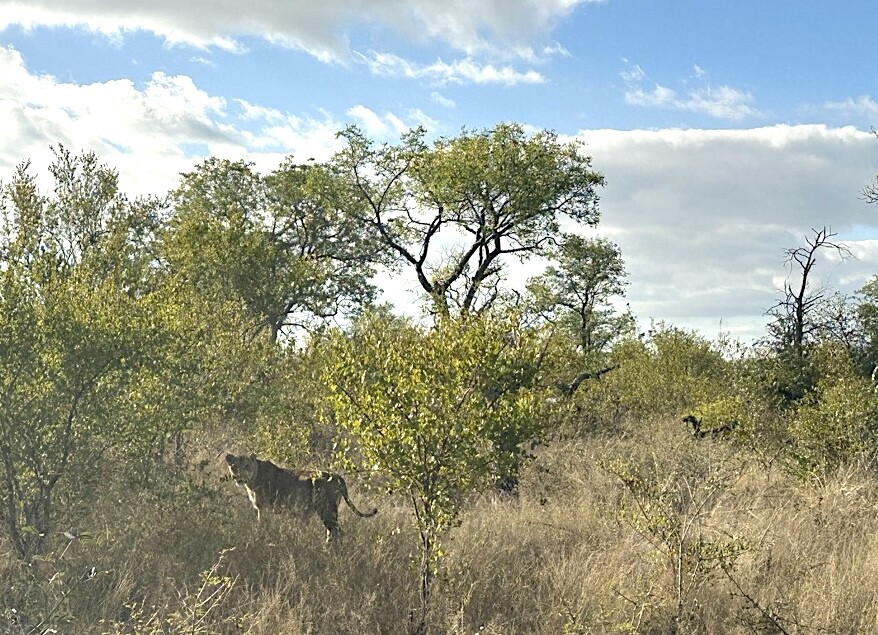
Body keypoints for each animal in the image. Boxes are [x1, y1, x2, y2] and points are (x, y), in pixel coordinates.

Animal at [225, 453, 377, 541]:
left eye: (247, 466)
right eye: (234, 466)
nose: (239, 477)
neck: (252, 479)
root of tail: (337, 476)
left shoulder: (264, 508)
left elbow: (262, 525)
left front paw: (260, 536)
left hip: (326, 509)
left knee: (337, 531)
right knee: (332, 532)